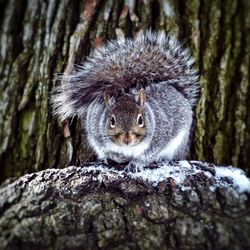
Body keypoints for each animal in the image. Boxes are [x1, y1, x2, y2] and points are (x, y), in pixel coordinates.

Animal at [51, 30, 200, 172]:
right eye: (112, 120)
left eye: (141, 120)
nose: (126, 139)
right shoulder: (96, 133)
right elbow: (105, 148)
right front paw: (115, 156)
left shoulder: (160, 135)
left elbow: (148, 154)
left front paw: (135, 163)